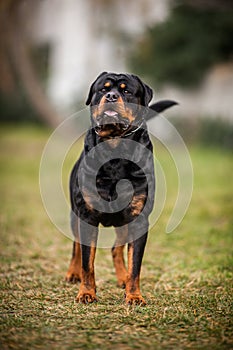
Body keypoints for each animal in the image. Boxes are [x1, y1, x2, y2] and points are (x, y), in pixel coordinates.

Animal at [64, 72, 176, 304]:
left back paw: (122, 277)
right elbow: (87, 262)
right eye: (102, 89)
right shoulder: (87, 215)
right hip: (74, 213)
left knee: (117, 248)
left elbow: (135, 264)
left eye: (127, 91)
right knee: (76, 247)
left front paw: (134, 295)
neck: (115, 148)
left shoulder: (138, 218)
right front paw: (86, 292)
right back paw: (72, 273)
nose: (111, 96)